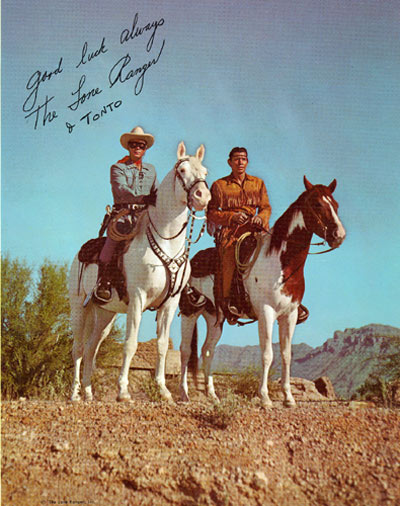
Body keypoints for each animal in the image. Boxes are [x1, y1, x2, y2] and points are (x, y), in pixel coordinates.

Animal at [69, 142, 211, 404]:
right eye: (182, 170)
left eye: (204, 172)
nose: (202, 197)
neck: (166, 241)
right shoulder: (137, 297)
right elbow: (131, 344)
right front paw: (123, 391)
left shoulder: (170, 304)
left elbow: (162, 345)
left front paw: (164, 390)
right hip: (78, 307)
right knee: (79, 348)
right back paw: (74, 393)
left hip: (105, 313)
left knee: (92, 347)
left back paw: (88, 392)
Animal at [180, 177, 346, 408]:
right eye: (318, 205)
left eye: (336, 205)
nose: (339, 236)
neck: (280, 263)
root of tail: (193, 260)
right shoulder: (266, 313)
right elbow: (267, 354)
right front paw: (265, 397)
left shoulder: (289, 315)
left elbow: (286, 355)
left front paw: (288, 398)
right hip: (190, 312)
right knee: (186, 350)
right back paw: (183, 395)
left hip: (215, 318)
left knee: (207, 351)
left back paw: (212, 395)